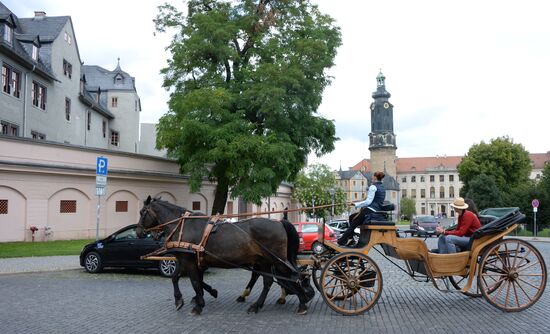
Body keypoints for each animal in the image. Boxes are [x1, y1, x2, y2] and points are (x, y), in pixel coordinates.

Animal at [137, 197, 314, 314]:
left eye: (142, 212)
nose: (138, 232)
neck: (183, 226)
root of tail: (279, 222)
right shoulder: (186, 259)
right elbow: (177, 278)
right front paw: (180, 299)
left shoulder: (189, 261)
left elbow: (195, 282)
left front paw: (199, 304)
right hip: (265, 261)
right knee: (269, 281)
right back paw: (261, 304)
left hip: (277, 260)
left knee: (291, 276)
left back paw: (301, 301)